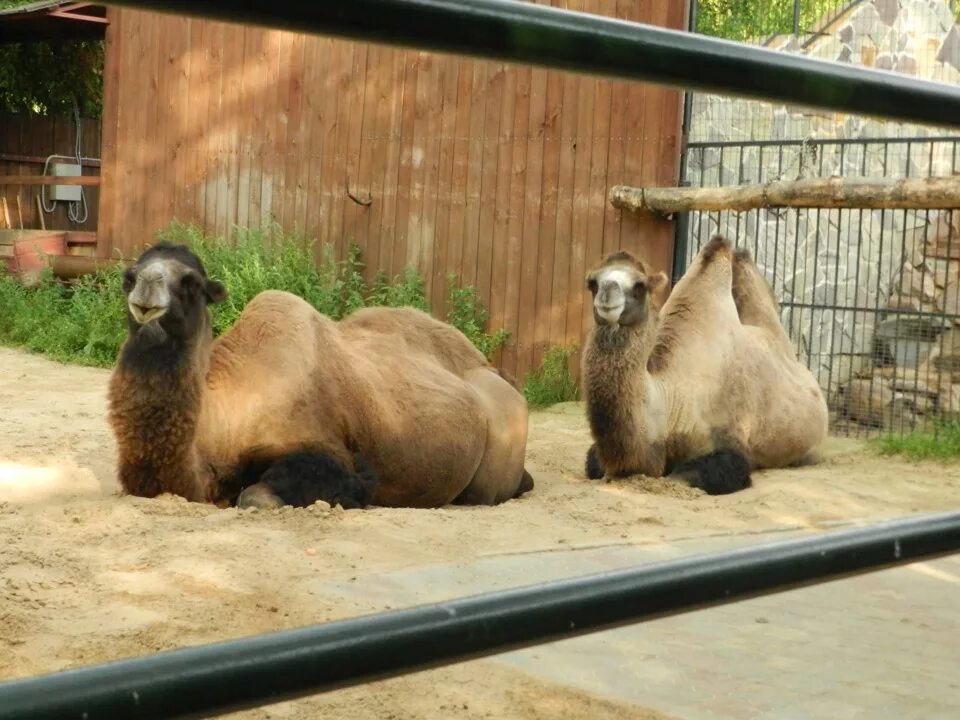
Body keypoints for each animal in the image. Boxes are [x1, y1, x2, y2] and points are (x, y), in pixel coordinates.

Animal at [110, 245, 540, 510]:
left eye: (191, 283)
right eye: (129, 276)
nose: (147, 288)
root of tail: (494, 370)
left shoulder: (330, 452)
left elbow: (258, 496)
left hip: (494, 461)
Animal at [580, 236, 828, 496]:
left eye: (640, 286)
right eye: (592, 283)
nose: (607, 296)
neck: (672, 398)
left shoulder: (730, 444)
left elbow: (684, 476)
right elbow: (593, 464)